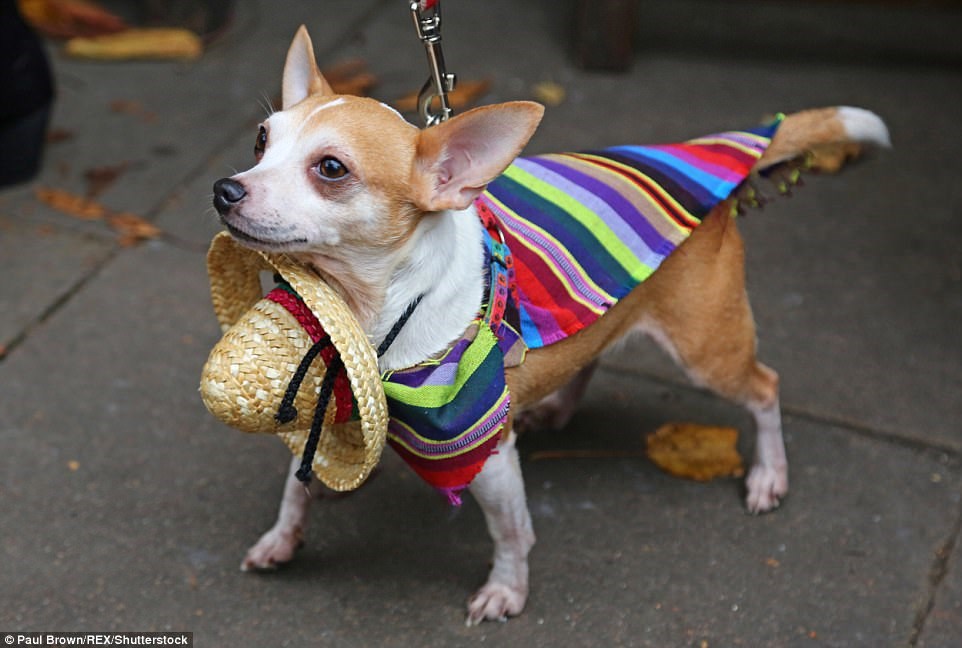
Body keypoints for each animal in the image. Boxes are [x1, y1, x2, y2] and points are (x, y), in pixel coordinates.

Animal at [212, 27, 892, 624]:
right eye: (260, 142)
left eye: (331, 169)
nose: (225, 189)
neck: (371, 309)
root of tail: (709, 164)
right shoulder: (331, 398)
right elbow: (296, 483)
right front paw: (283, 535)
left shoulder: (487, 454)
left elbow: (511, 531)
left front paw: (506, 591)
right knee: (591, 351)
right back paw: (560, 405)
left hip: (708, 351)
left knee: (764, 389)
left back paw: (769, 475)